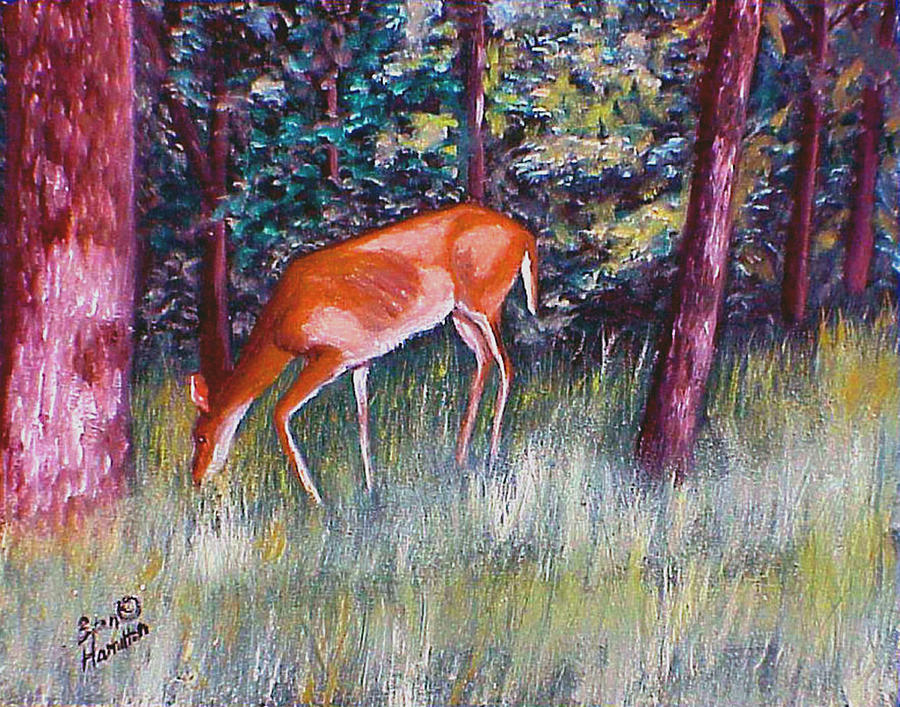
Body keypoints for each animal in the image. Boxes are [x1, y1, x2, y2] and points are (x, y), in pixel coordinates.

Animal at [187, 203, 539, 504]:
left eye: (200, 436)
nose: (195, 478)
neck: (279, 328)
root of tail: (525, 237)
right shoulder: (361, 359)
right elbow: (362, 416)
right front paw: (370, 489)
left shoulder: (332, 354)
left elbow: (280, 412)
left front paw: (317, 501)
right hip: (461, 315)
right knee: (484, 360)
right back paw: (461, 458)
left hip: (485, 300)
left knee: (507, 366)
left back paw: (492, 456)